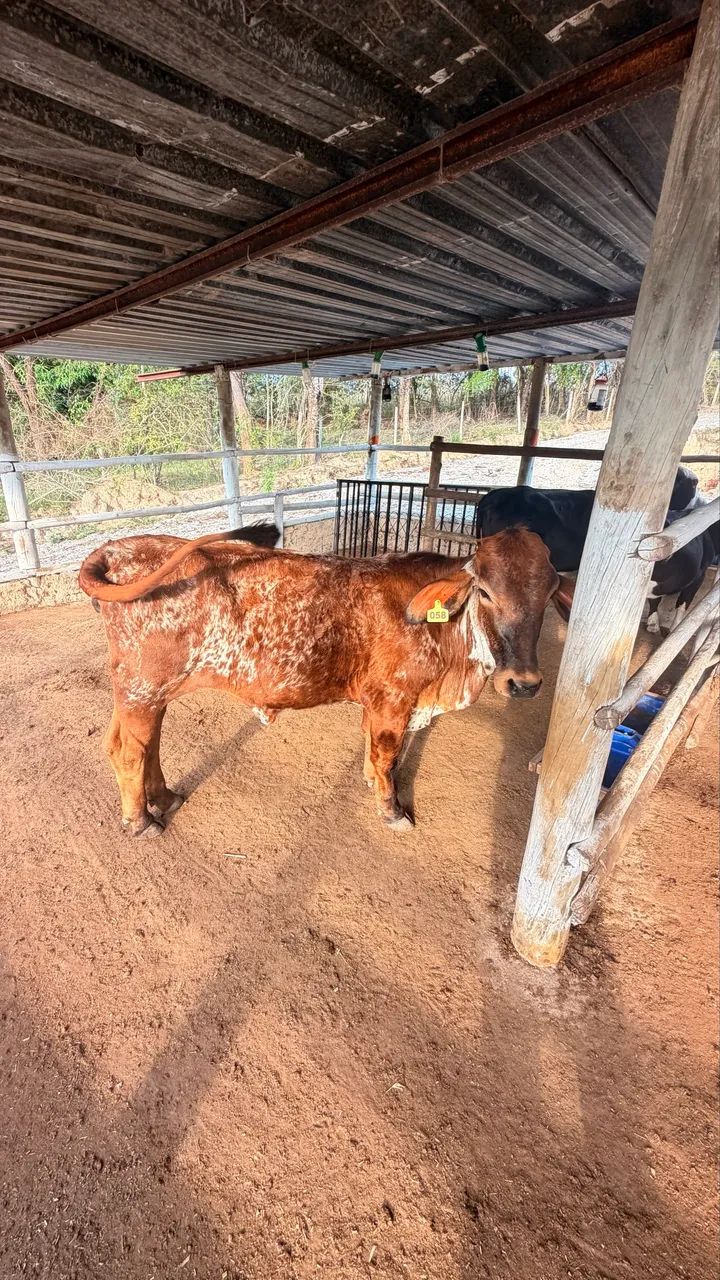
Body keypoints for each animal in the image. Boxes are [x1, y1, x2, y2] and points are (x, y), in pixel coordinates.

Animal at [79, 524, 571, 837]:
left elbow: (373, 753)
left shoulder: (378, 703)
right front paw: (392, 809)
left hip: (145, 694)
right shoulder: (393, 701)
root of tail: (118, 547)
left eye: (549, 594)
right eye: (485, 592)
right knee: (130, 751)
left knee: (138, 747)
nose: (524, 683)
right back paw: (142, 822)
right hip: (144, 689)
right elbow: (388, 757)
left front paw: (372, 784)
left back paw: (164, 798)